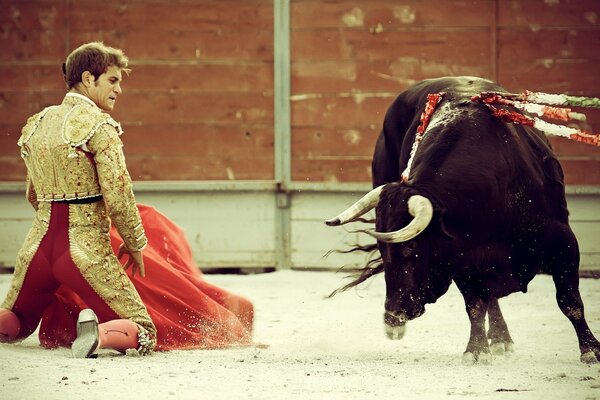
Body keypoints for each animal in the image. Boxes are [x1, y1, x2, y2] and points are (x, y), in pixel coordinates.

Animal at [326, 76, 596, 364]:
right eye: (383, 250)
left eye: (410, 248)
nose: (393, 316)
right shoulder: (464, 258)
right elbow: (475, 305)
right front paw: (476, 350)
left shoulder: (564, 242)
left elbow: (570, 301)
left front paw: (590, 349)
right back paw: (500, 338)